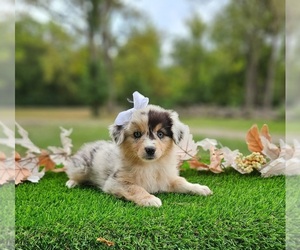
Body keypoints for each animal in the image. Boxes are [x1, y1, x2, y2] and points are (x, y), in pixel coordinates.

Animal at [64, 104, 212, 206]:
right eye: (136, 134)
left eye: (160, 134)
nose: (150, 149)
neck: (150, 166)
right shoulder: (115, 182)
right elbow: (135, 188)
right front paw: (150, 199)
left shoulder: (167, 178)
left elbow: (182, 182)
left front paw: (200, 188)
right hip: (81, 167)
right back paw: (71, 183)